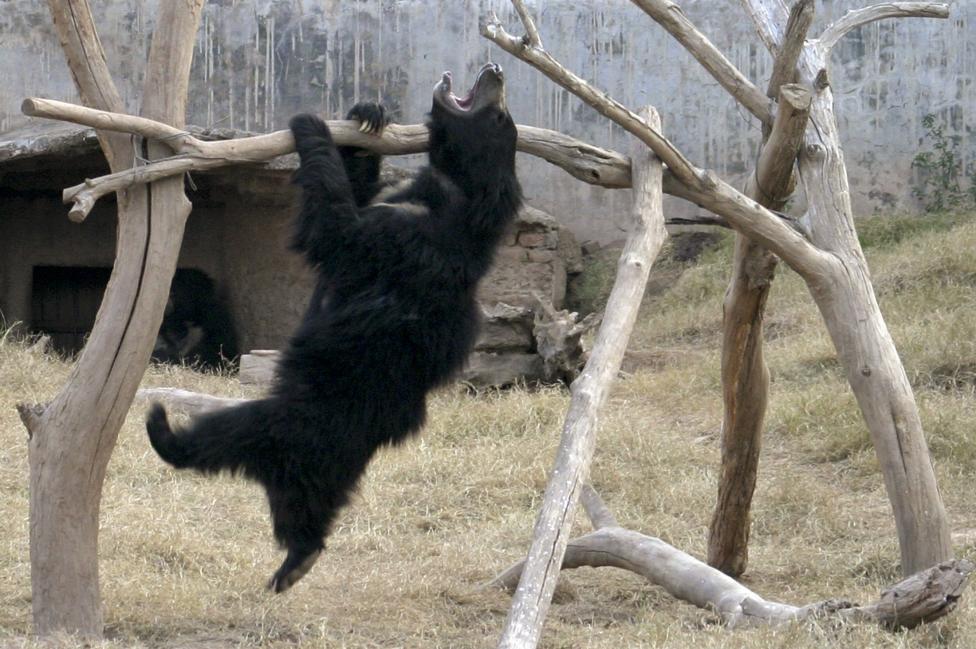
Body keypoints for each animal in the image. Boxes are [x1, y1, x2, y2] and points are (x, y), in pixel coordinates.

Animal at [144, 64, 520, 592]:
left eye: (501, 115)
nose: (495, 70)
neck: (458, 197)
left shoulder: (400, 240)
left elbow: (334, 228)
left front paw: (311, 126)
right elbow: (358, 193)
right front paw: (368, 115)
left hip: (283, 423)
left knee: (221, 437)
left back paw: (163, 430)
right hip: (318, 472)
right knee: (307, 517)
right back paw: (296, 562)